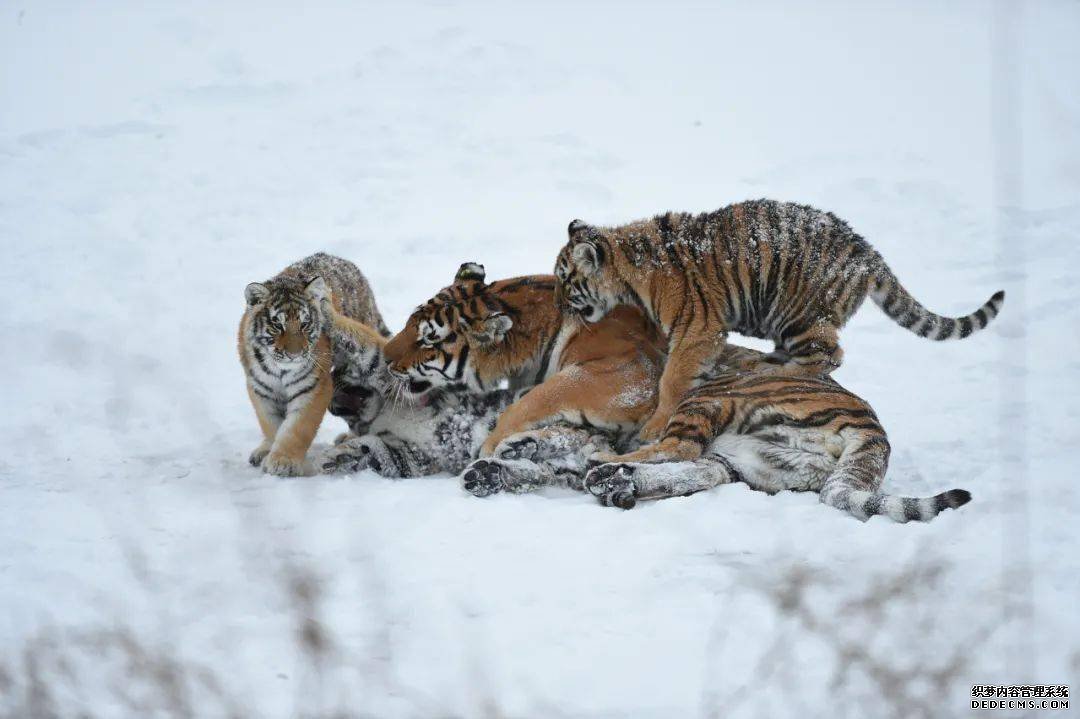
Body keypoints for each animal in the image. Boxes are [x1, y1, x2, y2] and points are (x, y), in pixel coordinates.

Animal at [238, 251, 390, 475]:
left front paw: (283, 462)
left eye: (305, 324)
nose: (294, 354)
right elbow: (271, 424)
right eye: (277, 325)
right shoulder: (261, 390)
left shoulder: (313, 387)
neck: (279, 370)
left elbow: (296, 428)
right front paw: (272, 451)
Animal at [552, 197, 1006, 442]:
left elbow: (672, 380)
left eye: (565, 280)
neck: (628, 268)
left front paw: (653, 427)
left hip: (800, 315)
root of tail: (868, 253)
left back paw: (773, 369)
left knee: (828, 356)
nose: (558, 305)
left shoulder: (697, 328)